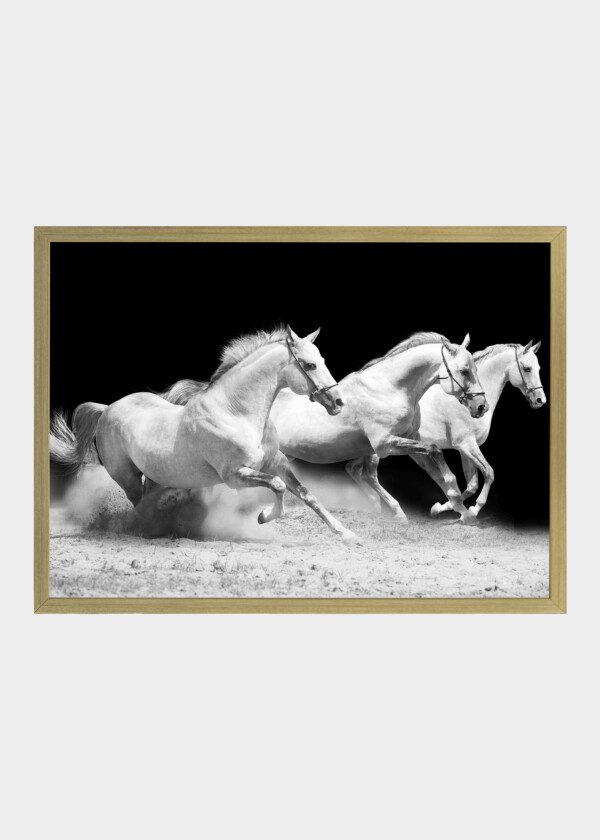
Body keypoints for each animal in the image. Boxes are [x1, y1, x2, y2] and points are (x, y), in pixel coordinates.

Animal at [50, 325, 361, 544]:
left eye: (321, 359)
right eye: (309, 365)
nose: (338, 402)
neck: (235, 412)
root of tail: (107, 409)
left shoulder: (276, 463)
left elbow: (307, 495)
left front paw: (346, 534)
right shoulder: (235, 475)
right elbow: (278, 486)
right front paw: (263, 517)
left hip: (154, 475)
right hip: (127, 477)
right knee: (139, 504)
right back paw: (150, 529)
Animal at [161, 332, 489, 523]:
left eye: (475, 367)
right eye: (464, 370)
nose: (480, 407)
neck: (390, 388)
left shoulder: (406, 440)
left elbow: (443, 469)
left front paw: (459, 509)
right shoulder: (385, 444)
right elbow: (436, 455)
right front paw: (458, 506)